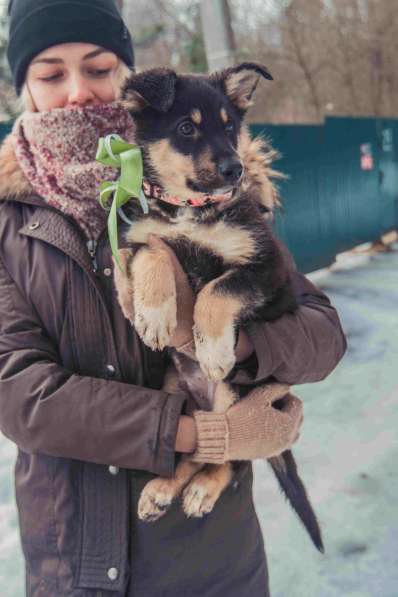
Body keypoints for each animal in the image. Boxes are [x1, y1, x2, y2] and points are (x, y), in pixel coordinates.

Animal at [114, 62, 324, 552]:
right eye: (186, 128)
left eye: (231, 128)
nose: (235, 169)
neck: (189, 210)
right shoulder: (137, 240)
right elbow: (154, 252)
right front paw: (156, 316)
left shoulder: (268, 270)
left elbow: (216, 292)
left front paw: (210, 348)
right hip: (175, 390)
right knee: (196, 447)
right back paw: (162, 488)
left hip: (236, 391)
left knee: (231, 452)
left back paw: (202, 489)